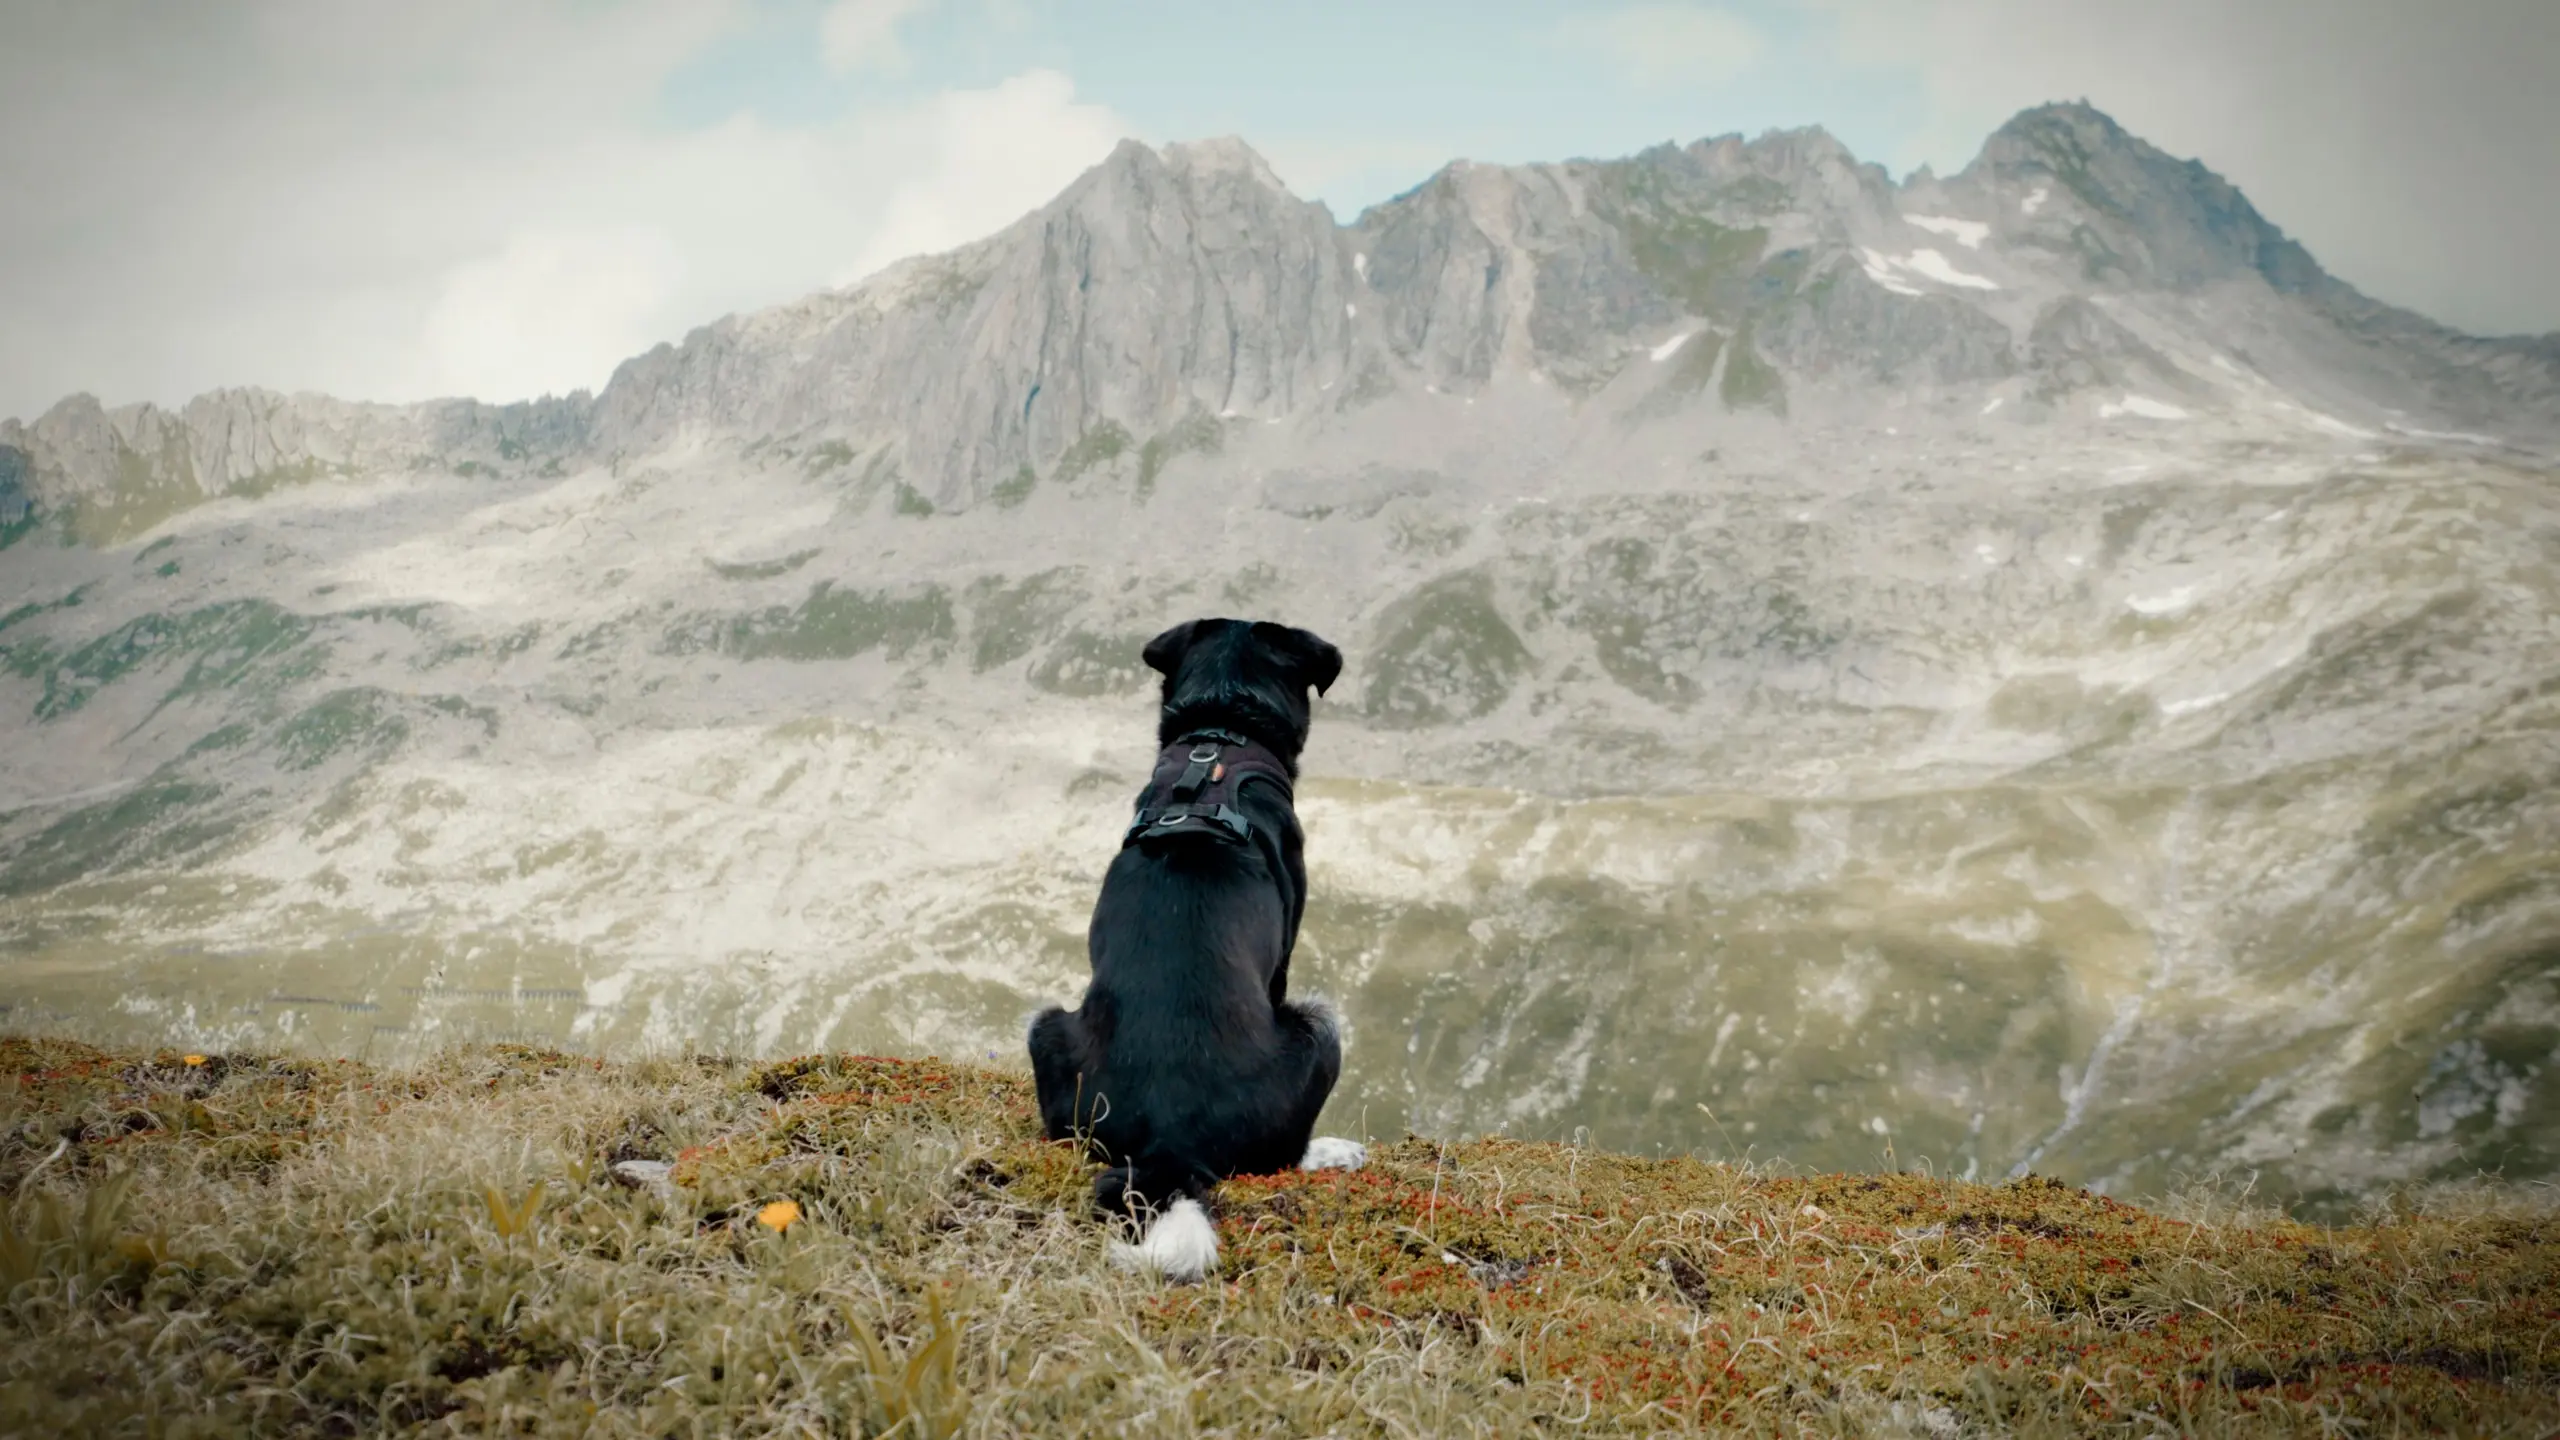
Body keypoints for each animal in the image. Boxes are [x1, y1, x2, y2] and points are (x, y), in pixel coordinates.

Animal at [1029, 609, 1372, 1270]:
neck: (1220, 734)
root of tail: (1170, 1141)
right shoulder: (1284, 955)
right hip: (1321, 1027)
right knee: (1281, 1154)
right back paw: (1331, 1152)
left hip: (1046, 1029)